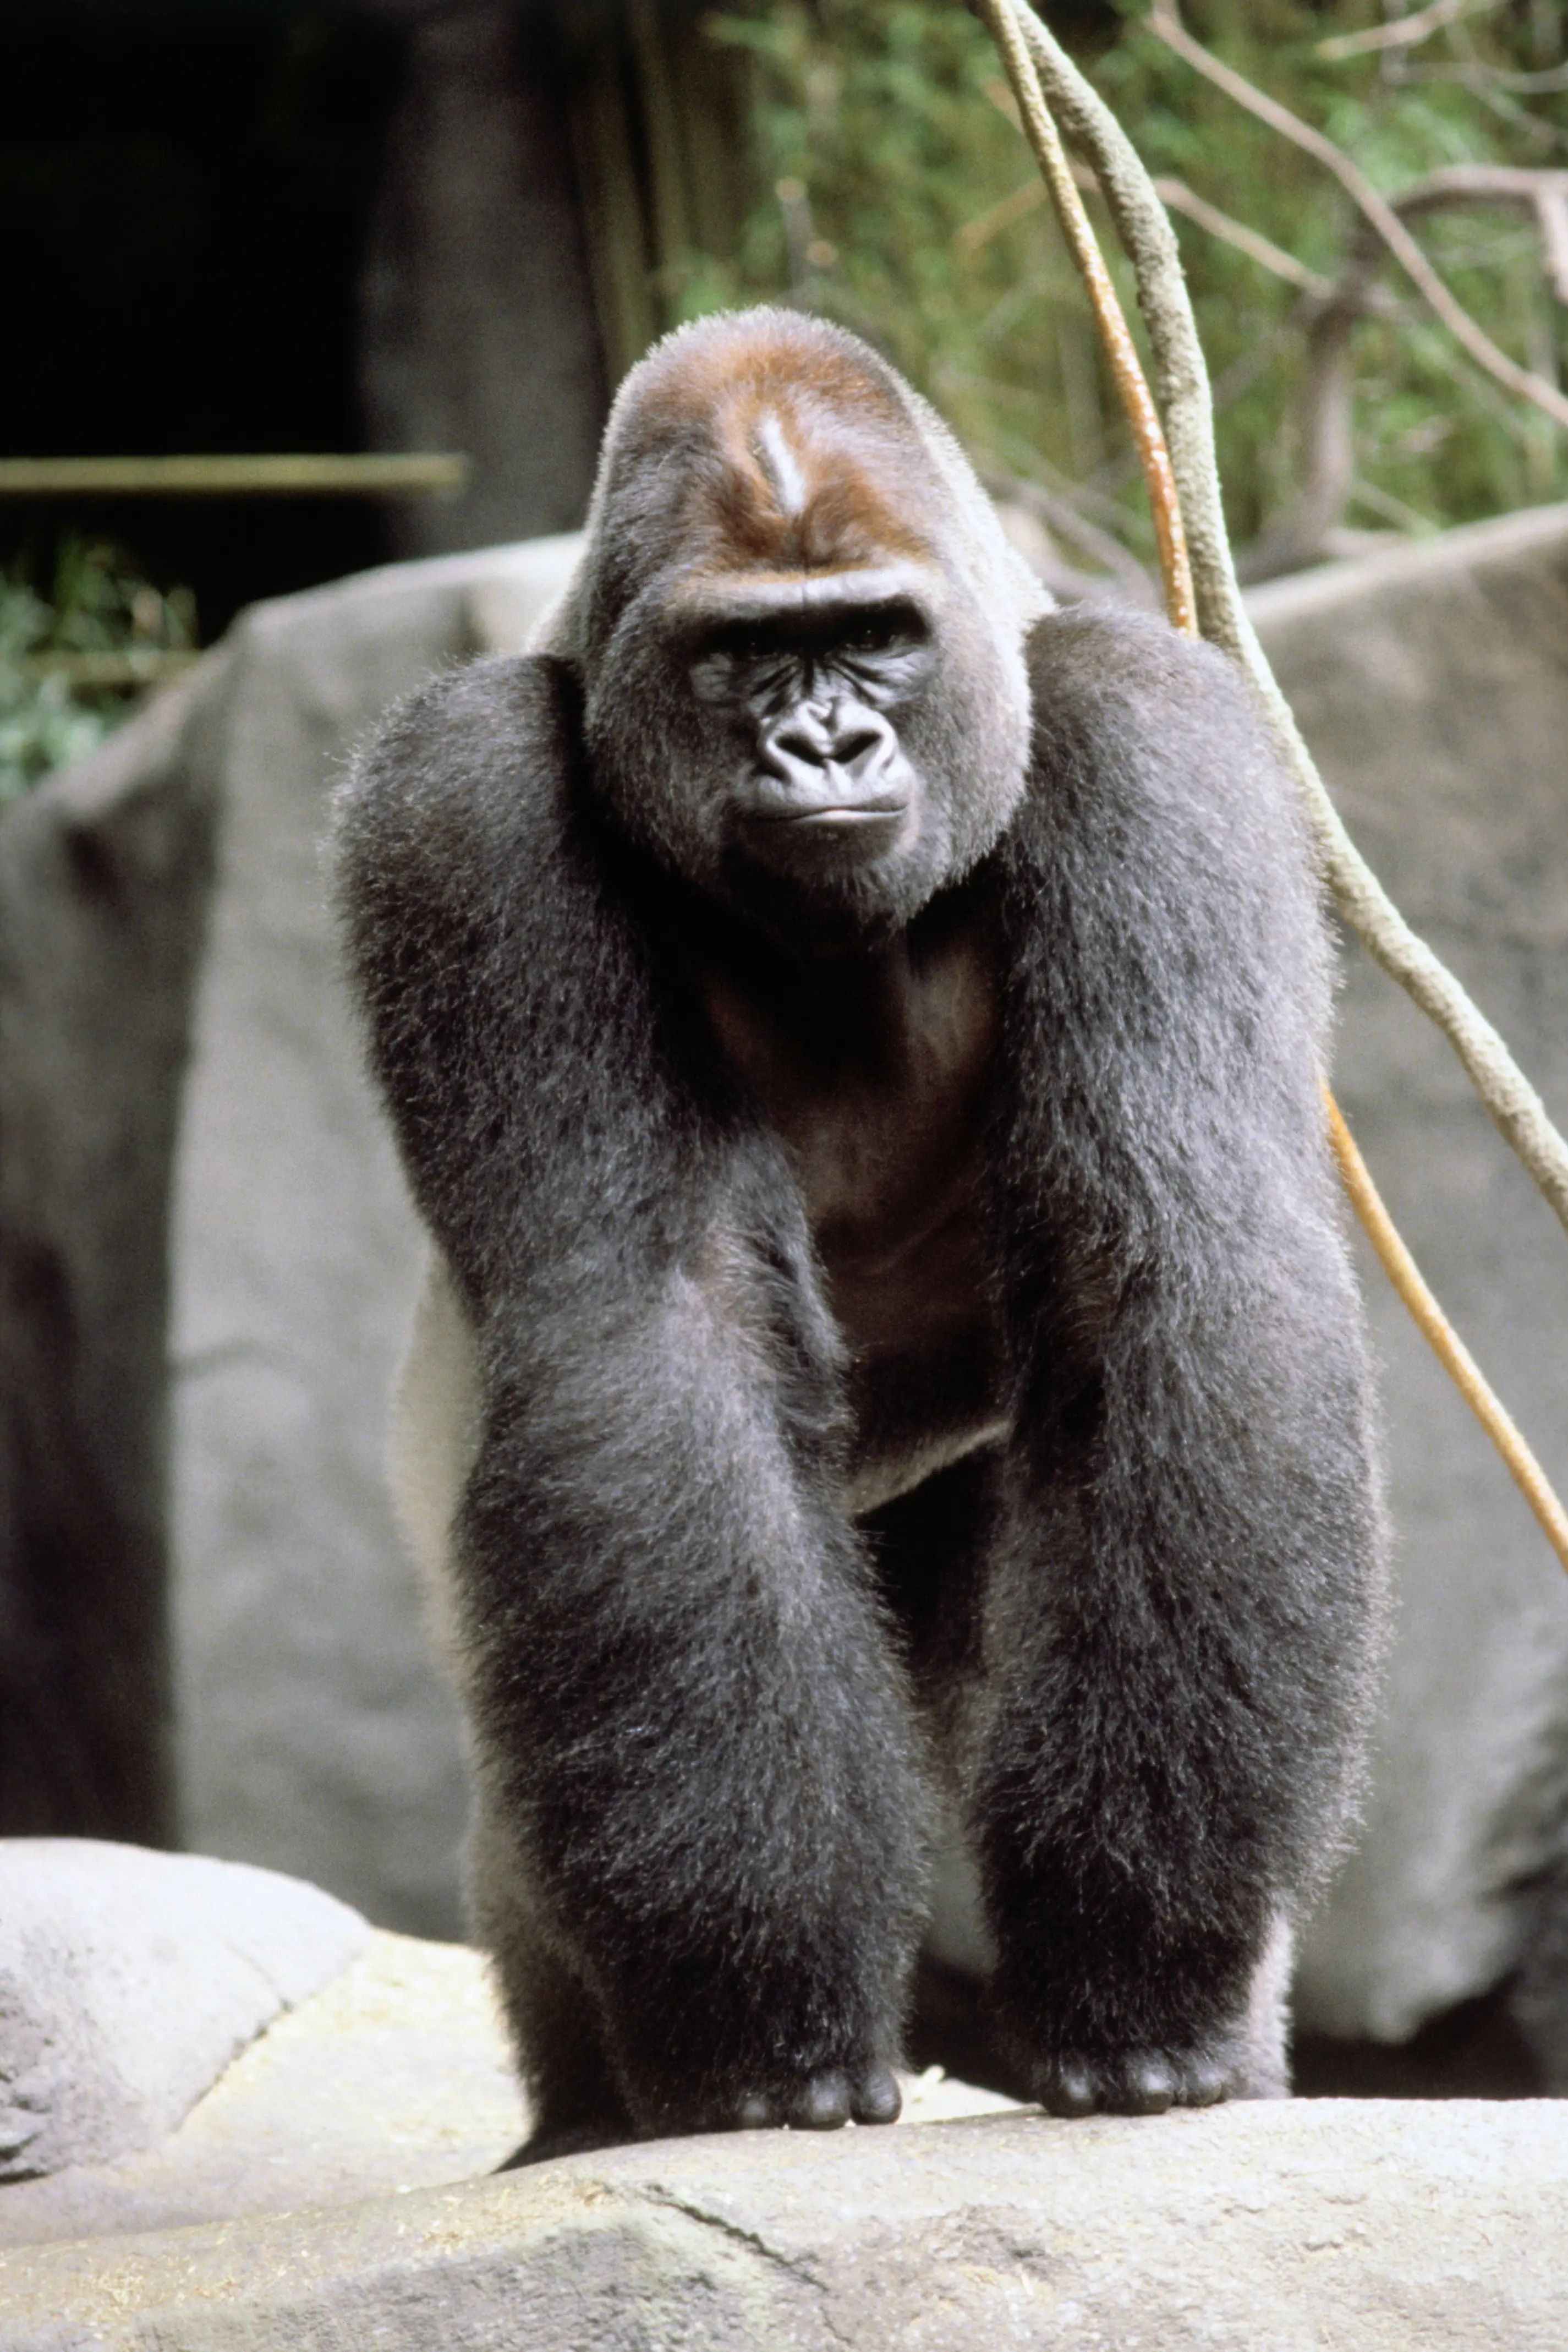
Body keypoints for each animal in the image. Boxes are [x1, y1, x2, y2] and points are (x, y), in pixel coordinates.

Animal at [334, 306, 1385, 2159]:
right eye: (744, 656)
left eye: (873, 638)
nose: (820, 746)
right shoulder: (460, 798)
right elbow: (647, 1325)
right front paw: (756, 2012)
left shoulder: (1153, 730)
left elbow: (1168, 1263)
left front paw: (1142, 1976)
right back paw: (586, 2111)